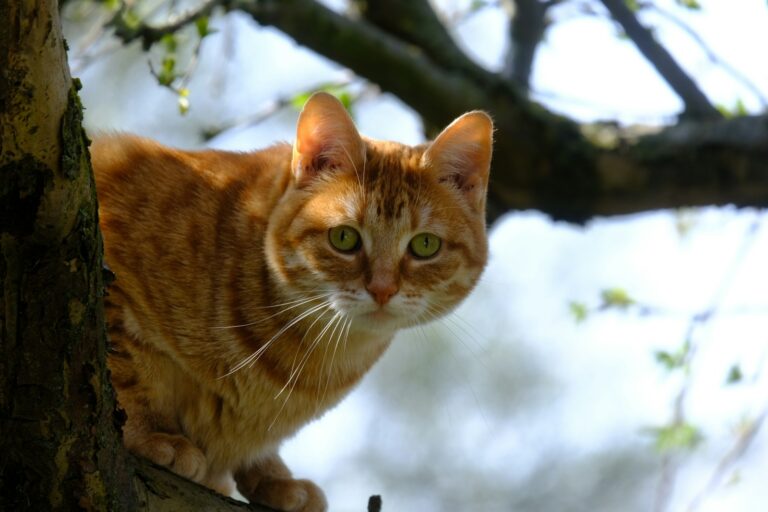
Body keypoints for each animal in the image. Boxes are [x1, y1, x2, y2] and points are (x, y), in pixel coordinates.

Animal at [90, 93, 496, 512]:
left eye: (425, 245)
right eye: (345, 238)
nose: (382, 289)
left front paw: (273, 477)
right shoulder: (111, 279)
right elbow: (125, 368)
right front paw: (149, 432)